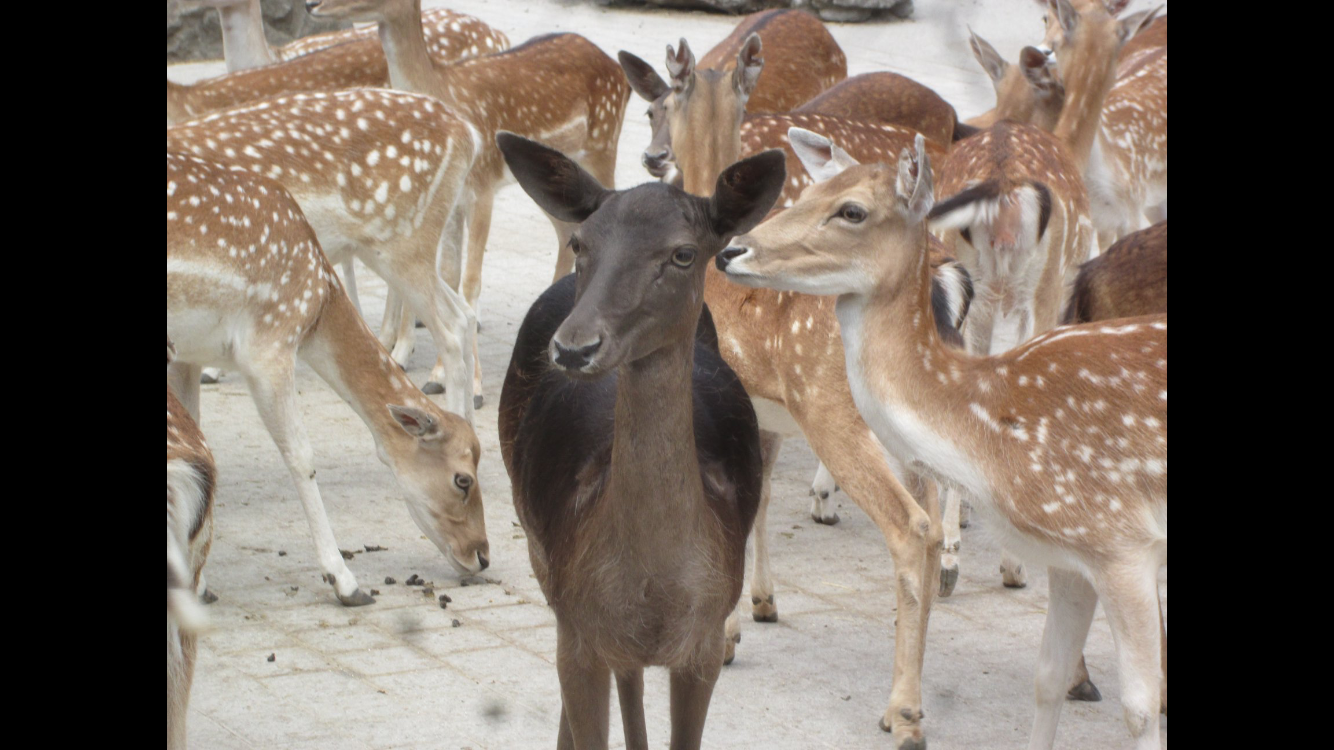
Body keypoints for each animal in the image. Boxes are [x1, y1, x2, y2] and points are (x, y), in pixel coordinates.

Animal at [166, 152, 489, 606]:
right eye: (463, 480)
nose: (482, 555)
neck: (316, 307)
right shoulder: (269, 346)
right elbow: (301, 457)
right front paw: (347, 582)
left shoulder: (189, 355)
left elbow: (197, 441)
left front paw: (201, 583)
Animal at [307, 0, 631, 408]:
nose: (310, 5)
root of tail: (617, 68)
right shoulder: (453, 202)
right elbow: (449, 276)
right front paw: (436, 377)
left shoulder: (482, 188)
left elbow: (471, 282)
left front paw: (474, 389)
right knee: (565, 232)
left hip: (603, 145)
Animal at [495, 133, 782, 750]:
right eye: (580, 242)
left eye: (683, 254)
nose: (573, 347)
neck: (654, 590)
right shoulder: (576, 631)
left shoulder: (704, 643)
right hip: (538, 550)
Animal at [618, 35, 978, 748]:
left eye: (657, 106)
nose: (653, 158)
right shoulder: (763, 412)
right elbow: (752, 498)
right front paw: (756, 608)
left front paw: (724, 633)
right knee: (926, 524)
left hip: (834, 409)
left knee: (910, 527)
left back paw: (903, 711)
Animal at [717, 132, 1168, 750]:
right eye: (807, 193)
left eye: (852, 210)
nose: (732, 251)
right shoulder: (1077, 555)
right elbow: (1046, 678)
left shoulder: (1121, 544)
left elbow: (1142, 709)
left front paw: (729, 632)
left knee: (911, 526)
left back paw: (904, 710)